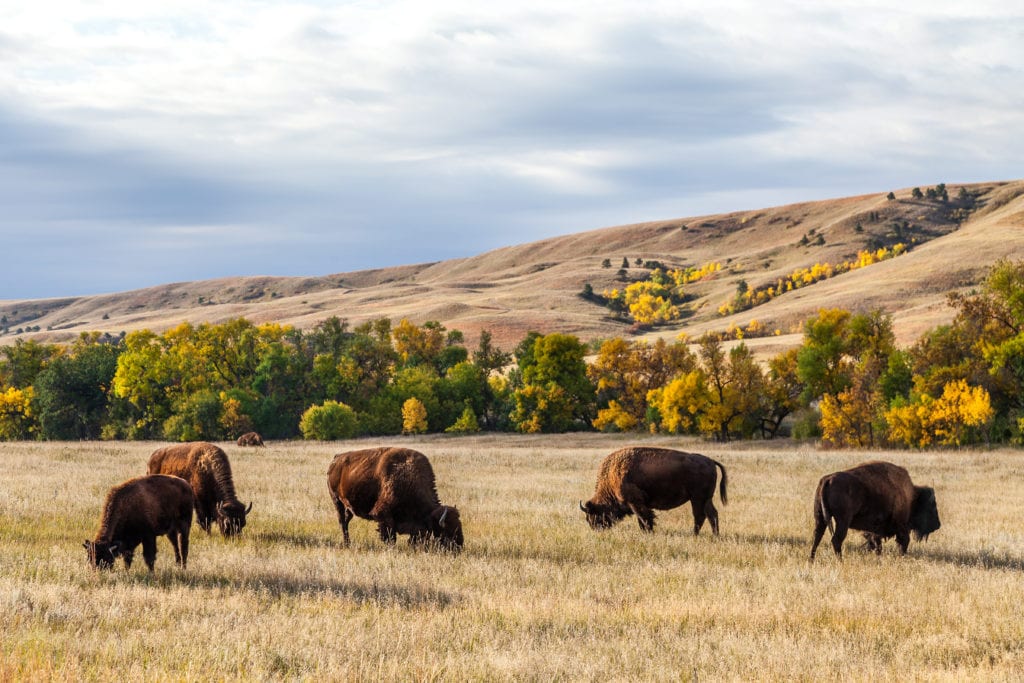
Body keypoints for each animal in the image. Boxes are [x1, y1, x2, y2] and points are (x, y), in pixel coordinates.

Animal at [327, 447, 463, 551]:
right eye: (447, 532)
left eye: (459, 525)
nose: (459, 547)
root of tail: (336, 459)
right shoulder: (383, 515)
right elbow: (390, 536)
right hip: (337, 501)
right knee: (342, 522)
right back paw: (347, 543)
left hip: (348, 506)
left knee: (346, 520)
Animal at [580, 447, 728, 534]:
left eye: (593, 514)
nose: (595, 529)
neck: (612, 475)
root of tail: (710, 461)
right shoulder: (638, 504)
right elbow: (642, 519)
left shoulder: (635, 502)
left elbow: (645, 518)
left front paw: (649, 532)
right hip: (706, 499)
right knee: (712, 514)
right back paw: (714, 535)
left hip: (697, 498)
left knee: (700, 515)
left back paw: (695, 535)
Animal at [810, 460, 941, 560]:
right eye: (932, 507)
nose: (938, 525)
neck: (911, 497)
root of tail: (827, 479)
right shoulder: (900, 526)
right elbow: (902, 541)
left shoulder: (876, 529)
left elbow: (876, 542)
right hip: (842, 521)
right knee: (836, 539)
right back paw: (840, 561)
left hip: (819, 517)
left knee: (817, 536)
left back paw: (811, 560)